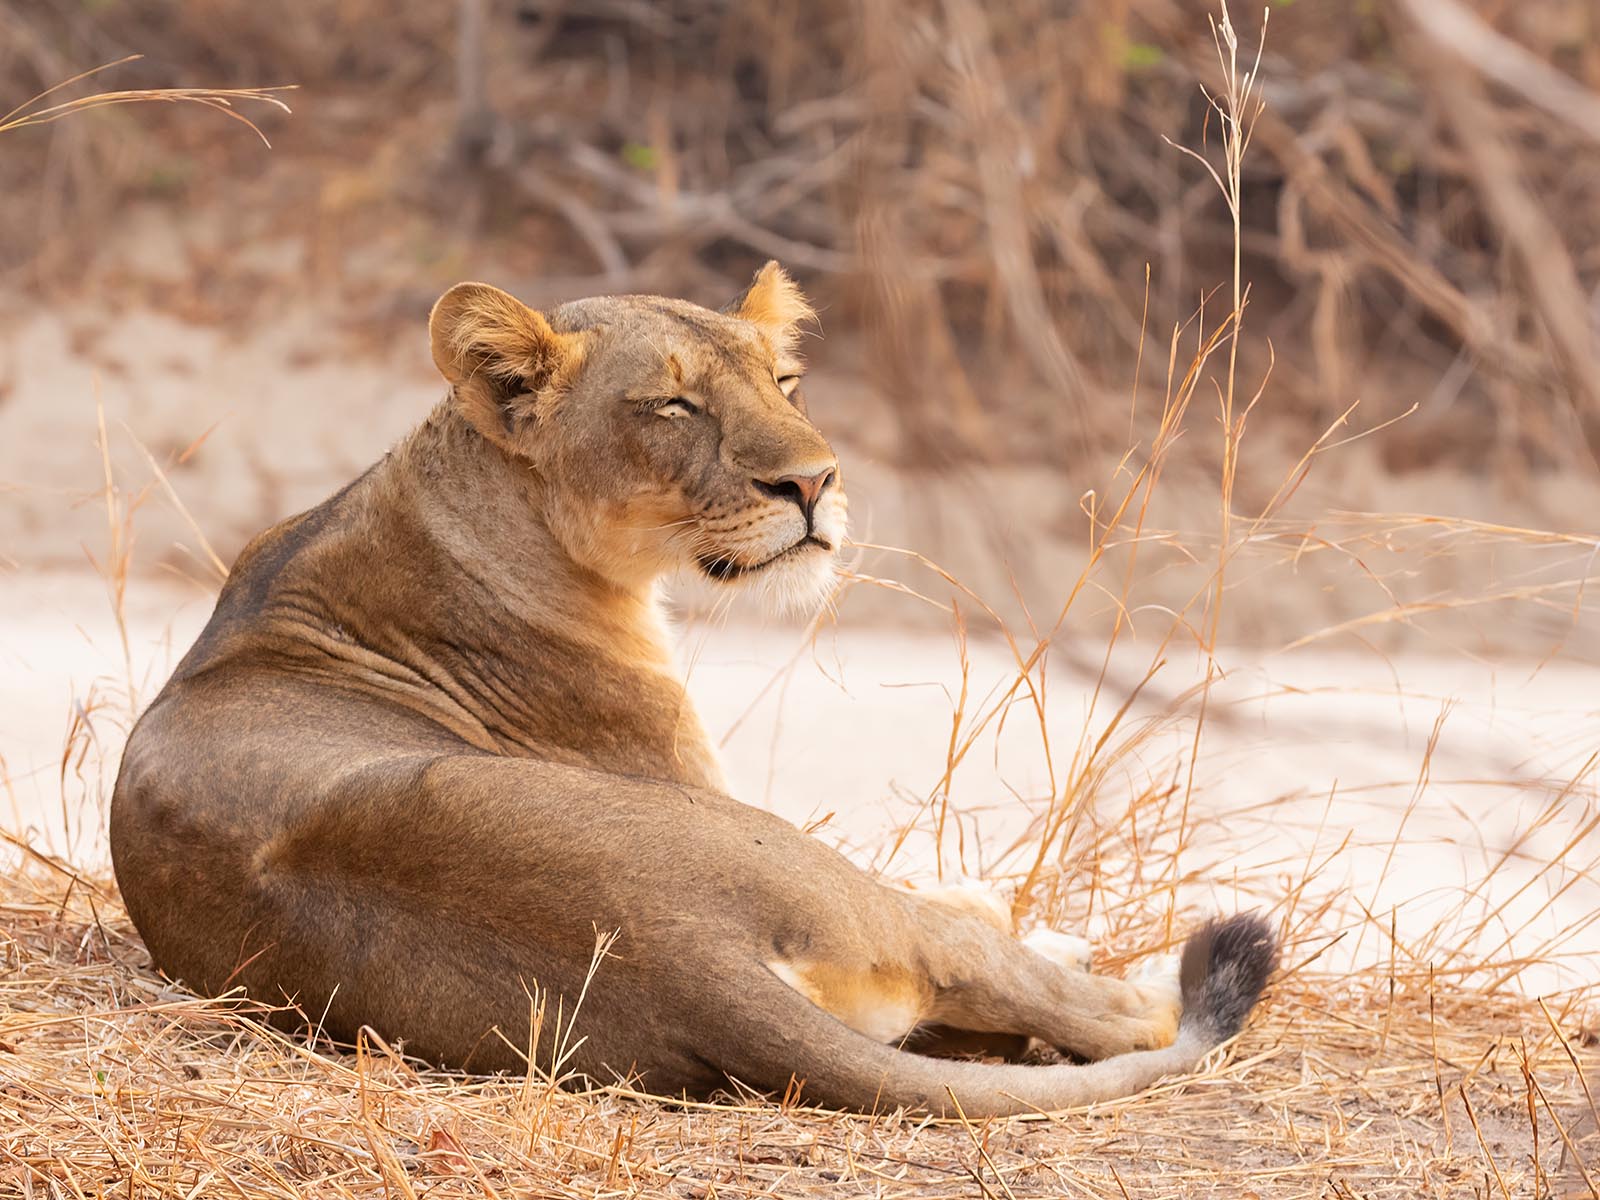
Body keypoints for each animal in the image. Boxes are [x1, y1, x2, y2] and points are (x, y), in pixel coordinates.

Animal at [109, 263, 1277, 1116]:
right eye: (672, 404)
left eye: (785, 385)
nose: (816, 482)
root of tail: (675, 954)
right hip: (813, 871)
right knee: (1074, 997)